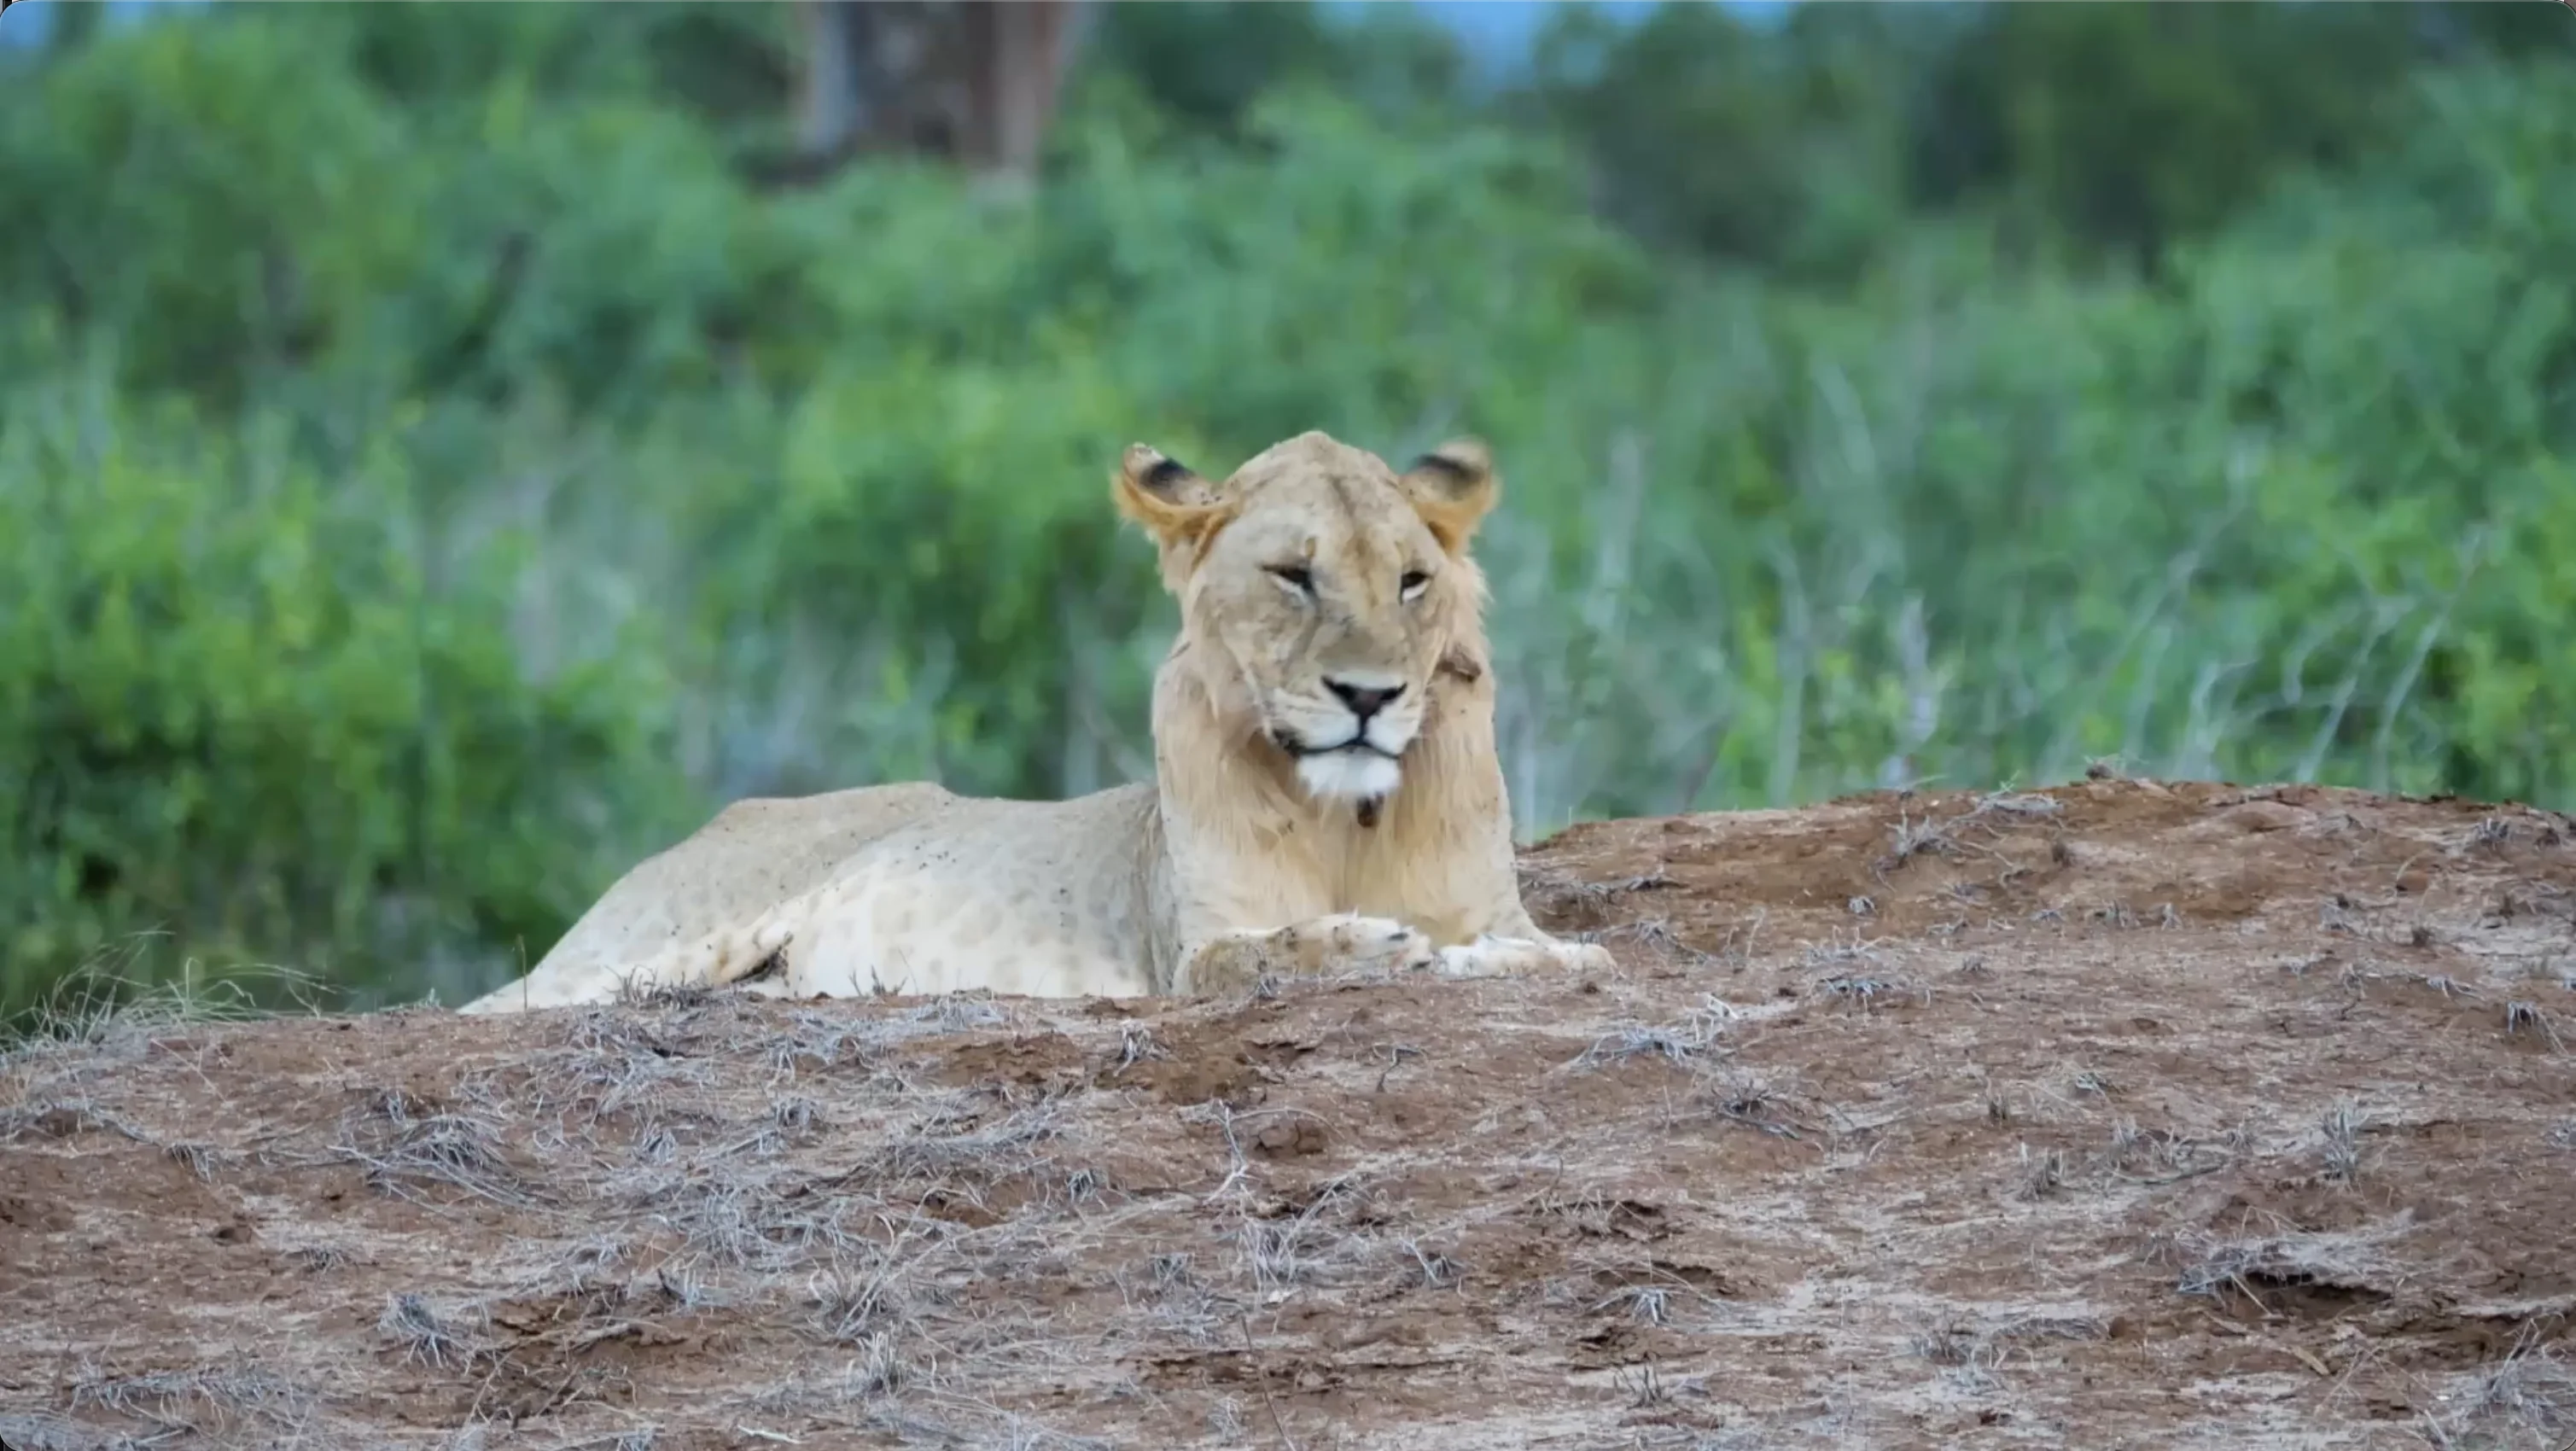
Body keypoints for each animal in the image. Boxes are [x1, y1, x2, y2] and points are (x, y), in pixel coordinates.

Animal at [456, 430, 1613, 1014]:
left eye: (1413, 581)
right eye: (1294, 575)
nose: (1370, 697)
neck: (1348, 814)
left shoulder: (1504, 913)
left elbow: (1572, 959)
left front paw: (1479, 960)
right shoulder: (1189, 950)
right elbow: (1263, 955)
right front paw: (1376, 942)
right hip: (632, 950)